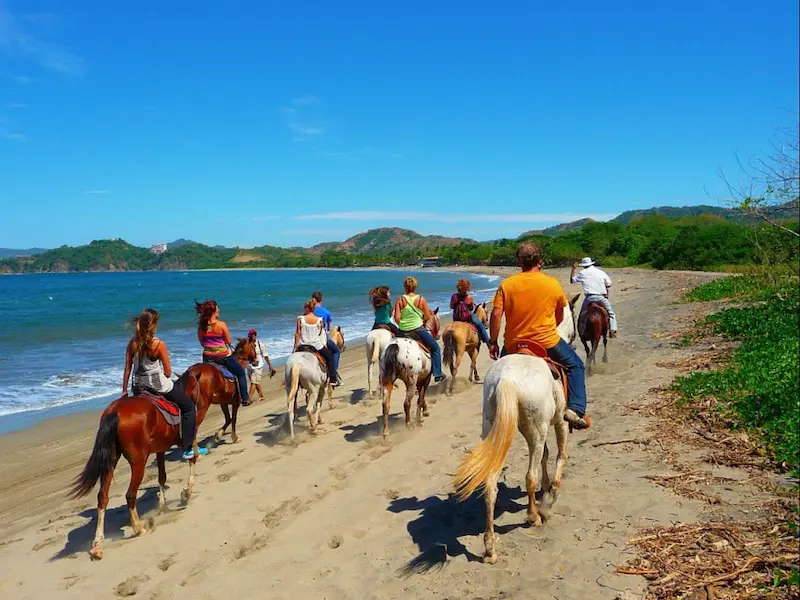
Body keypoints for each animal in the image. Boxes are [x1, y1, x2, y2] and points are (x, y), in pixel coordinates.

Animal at [68, 372, 209, 560]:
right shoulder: (185, 439)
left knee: (102, 497)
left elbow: (162, 476)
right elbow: (192, 458)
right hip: (138, 462)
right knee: (130, 495)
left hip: (111, 460)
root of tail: (114, 412)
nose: (199, 406)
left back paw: (98, 545)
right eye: (198, 386)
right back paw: (138, 527)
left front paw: (162, 505)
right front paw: (186, 492)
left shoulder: (160, 449)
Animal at [380, 307, 441, 438]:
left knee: (385, 405)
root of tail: (395, 346)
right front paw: (420, 418)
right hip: (411, 382)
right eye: (437, 319)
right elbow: (420, 399)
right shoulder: (425, 379)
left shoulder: (420, 379)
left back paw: (386, 432)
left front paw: (424, 411)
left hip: (387, 381)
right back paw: (409, 424)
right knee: (407, 403)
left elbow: (421, 399)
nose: (438, 335)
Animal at [453, 352, 569, 565]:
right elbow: (560, 454)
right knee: (530, 476)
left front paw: (546, 486)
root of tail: (506, 379)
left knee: (490, 488)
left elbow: (546, 455)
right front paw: (552, 492)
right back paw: (534, 516)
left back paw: (490, 549)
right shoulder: (560, 420)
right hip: (536, 431)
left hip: (494, 431)